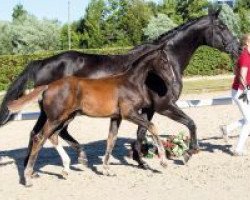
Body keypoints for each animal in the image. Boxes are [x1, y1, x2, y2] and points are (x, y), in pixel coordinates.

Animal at [7, 46, 167, 187]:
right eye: (164, 60)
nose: (168, 81)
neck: (129, 82)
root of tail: (47, 86)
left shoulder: (116, 117)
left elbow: (111, 140)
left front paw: (107, 170)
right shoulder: (129, 113)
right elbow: (152, 127)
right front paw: (163, 161)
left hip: (66, 117)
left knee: (53, 136)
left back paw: (66, 169)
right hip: (55, 118)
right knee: (39, 138)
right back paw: (28, 178)